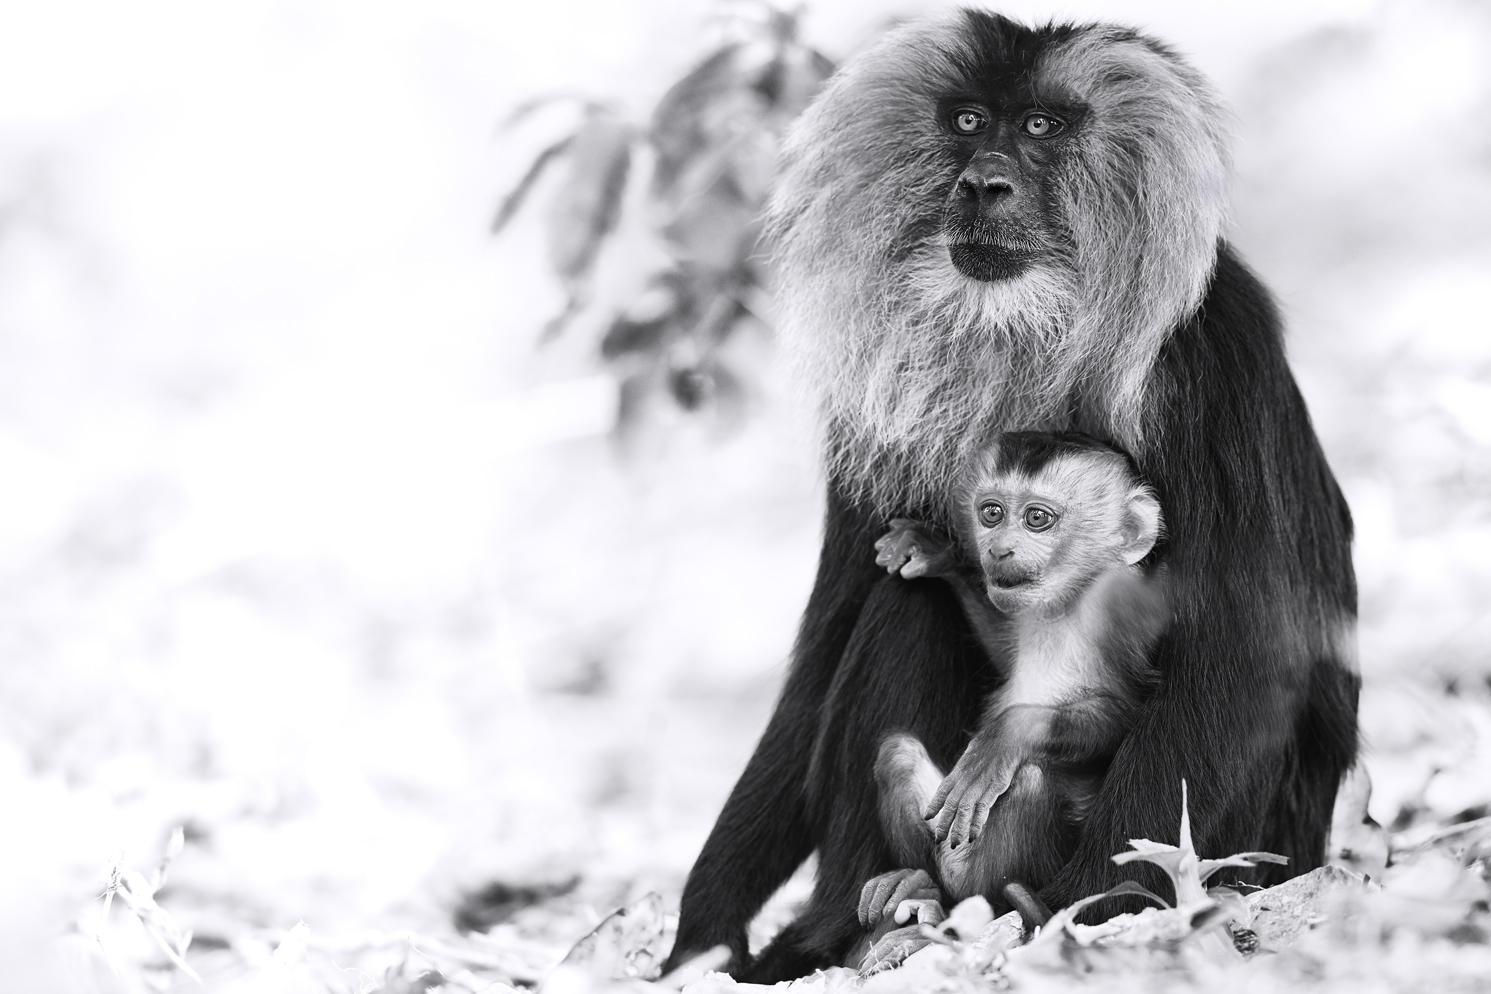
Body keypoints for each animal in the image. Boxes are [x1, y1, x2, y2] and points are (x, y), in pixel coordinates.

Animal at [856, 431, 1167, 941]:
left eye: (1037, 519)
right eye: (992, 513)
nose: (997, 550)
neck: (1065, 606)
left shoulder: (1127, 617)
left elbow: (1129, 711)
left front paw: (1008, 733)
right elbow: (1003, 655)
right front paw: (934, 554)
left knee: (1028, 781)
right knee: (897, 753)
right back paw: (917, 884)